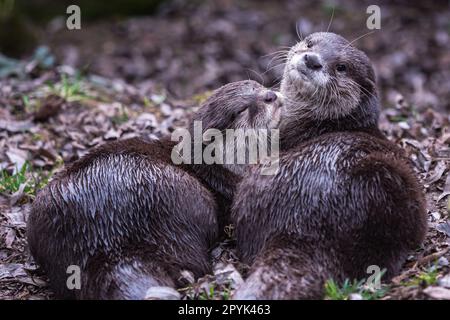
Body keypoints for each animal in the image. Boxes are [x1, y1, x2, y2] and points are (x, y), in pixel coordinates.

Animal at [26, 80, 282, 300]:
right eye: (242, 110)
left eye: (258, 85)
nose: (270, 95)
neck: (215, 166)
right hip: (187, 197)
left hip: (42, 218)